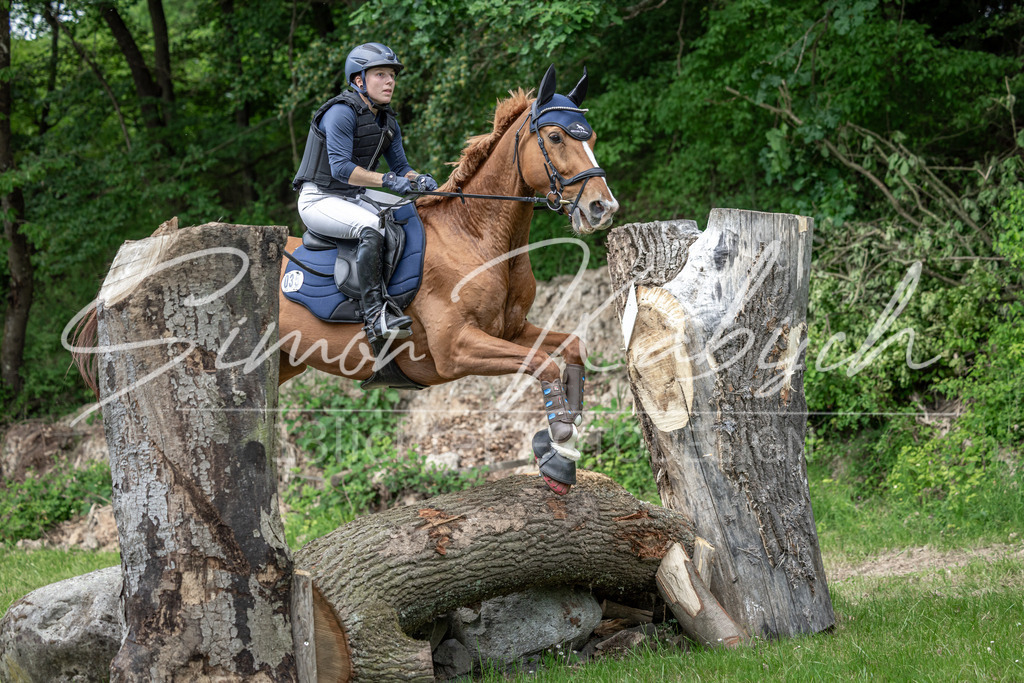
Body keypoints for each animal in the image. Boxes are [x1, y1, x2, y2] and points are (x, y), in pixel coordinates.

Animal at [74, 66, 619, 495]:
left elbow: (570, 349)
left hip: (282, 365)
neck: (477, 235)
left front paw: (560, 445)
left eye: (589, 135)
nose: (602, 208)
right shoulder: (456, 349)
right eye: (556, 138)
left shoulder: (510, 329)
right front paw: (556, 454)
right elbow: (543, 365)